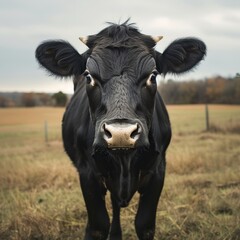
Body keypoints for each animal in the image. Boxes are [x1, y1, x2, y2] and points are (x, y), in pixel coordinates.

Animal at [35, 21, 206, 240]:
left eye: (153, 76)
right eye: (89, 76)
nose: (120, 134)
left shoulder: (158, 170)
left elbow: (145, 225)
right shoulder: (87, 174)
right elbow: (98, 226)